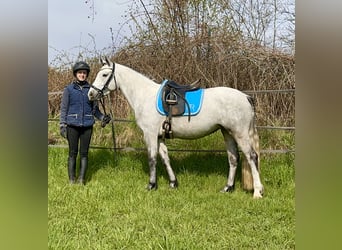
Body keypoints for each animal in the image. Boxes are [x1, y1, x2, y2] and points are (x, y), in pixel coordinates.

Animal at [89, 56, 264, 197]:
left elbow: (152, 159)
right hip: (227, 132)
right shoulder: (159, 136)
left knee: (251, 157)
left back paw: (257, 192)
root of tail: (246, 97)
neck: (145, 95)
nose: (91, 94)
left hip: (239, 133)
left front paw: (151, 185)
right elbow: (165, 158)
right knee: (233, 158)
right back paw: (227, 188)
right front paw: (173, 183)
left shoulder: (150, 134)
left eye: (104, 75)